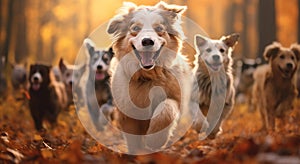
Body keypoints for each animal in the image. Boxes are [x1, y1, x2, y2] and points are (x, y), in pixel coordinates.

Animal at [106, 1, 207, 152]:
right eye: (136, 28)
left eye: (159, 28)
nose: (147, 41)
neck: (148, 76)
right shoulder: (127, 112)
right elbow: (133, 139)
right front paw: (137, 152)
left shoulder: (176, 97)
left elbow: (166, 110)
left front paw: (154, 140)